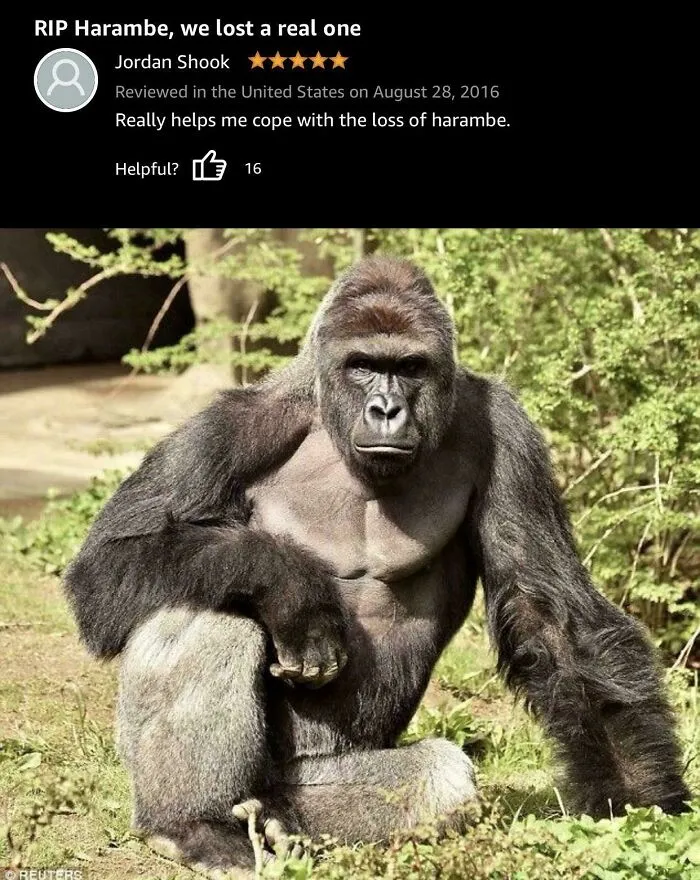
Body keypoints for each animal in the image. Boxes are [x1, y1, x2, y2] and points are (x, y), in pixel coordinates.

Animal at [64, 256, 691, 874]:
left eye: (409, 367)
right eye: (363, 365)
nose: (386, 409)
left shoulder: (508, 434)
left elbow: (550, 613)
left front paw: (638, 801)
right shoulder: (231, 427)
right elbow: (106, 564)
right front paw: (292, 588)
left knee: (437, 778)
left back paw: (277, 821)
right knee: (205, 609)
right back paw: (192, 825)